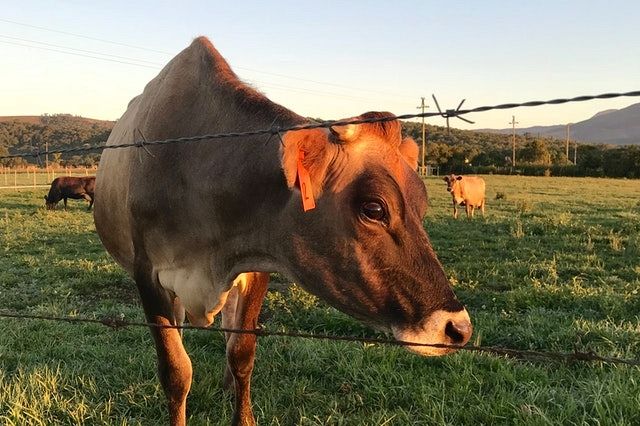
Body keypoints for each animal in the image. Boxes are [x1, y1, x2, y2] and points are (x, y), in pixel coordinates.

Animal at [95, 37, 472, 426]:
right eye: (374, 208)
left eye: (422, 204)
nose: (458, 328)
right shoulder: (147, 275)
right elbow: (175, 370)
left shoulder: (255, 263)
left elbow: (242, 351)